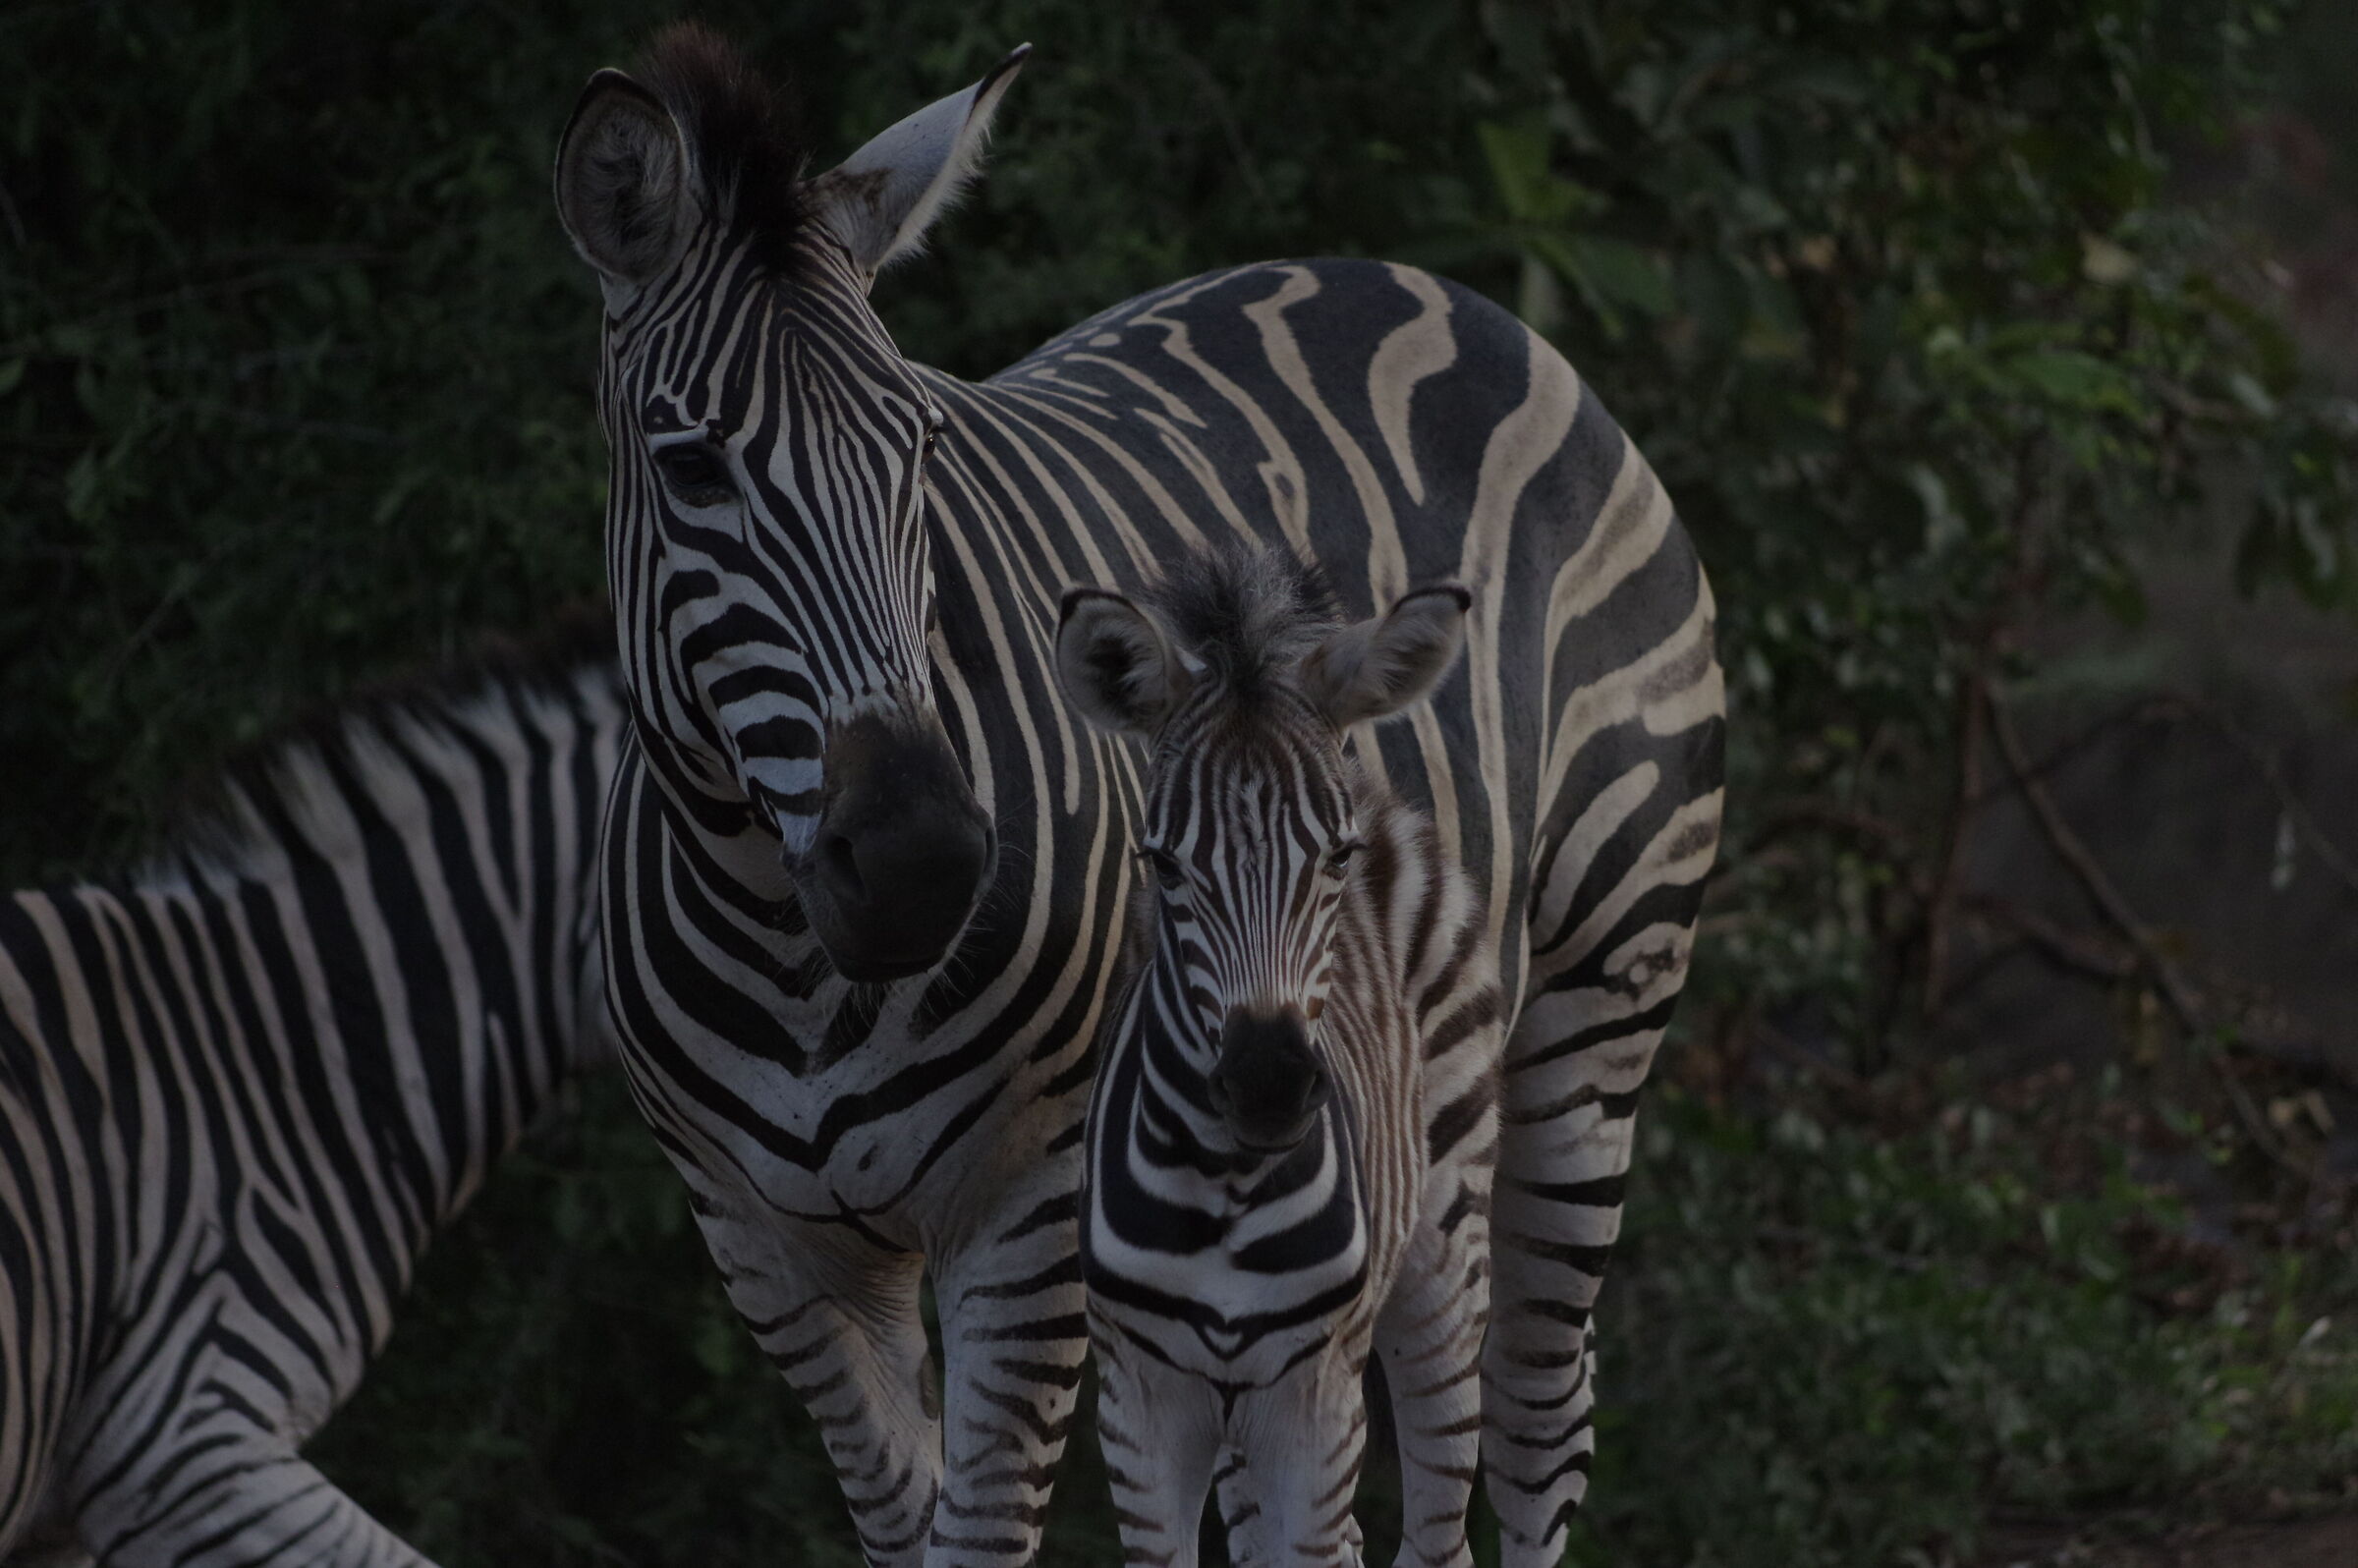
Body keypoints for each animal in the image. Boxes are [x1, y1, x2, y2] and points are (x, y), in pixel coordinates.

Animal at [1056, 548, 1505, 1568]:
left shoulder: (1316, 1401)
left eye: (1333, 859)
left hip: (1443, 1266)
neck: (1225, 1180)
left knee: (1438, 1533)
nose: (1268, 1085)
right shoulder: (1142, 1404)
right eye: (1162, 863)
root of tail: (1385, 802)